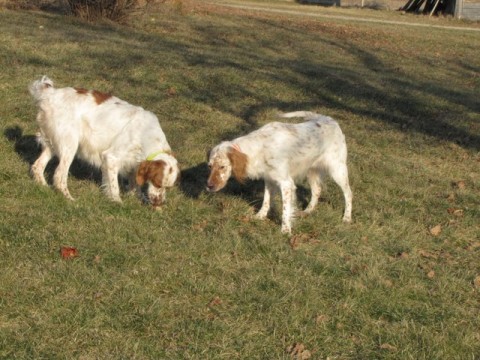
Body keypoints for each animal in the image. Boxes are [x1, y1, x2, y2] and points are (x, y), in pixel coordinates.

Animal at [30, 75, 180, 208]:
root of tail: (51, 94)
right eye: (157, 183)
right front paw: (118, 202)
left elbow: (134, 183)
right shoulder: (111, 158)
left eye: (168, 187)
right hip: (70, 145)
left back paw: (44, 188)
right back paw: (70, 199)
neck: (145, 133)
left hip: (52, 144)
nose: (159, 203)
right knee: (59, 175)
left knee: (38, 166)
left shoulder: (133, 164)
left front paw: (135, 198)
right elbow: (114, 186)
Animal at [207, 112, 352, 233]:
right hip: (311, 171)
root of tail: (328, 119)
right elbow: (266, 201)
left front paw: (286, 230)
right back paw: (307, 211)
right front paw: (260, 216)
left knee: (348, 194)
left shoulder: (286, 183)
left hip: (337, 170)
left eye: (222, 167)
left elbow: (285, 209)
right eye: (210, 166)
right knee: (317, 190)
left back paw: (347, 218)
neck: (261, 146)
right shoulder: (269, 179)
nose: (209, 186)